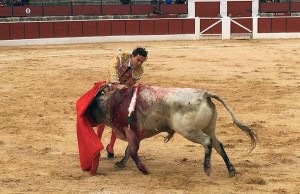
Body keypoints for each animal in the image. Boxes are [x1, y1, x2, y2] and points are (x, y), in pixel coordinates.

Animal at [86, 84, 258, 177]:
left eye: (89, 108)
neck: (113, 103)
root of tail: (205, 94)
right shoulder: (136, 134)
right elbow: (129, 150)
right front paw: (121, 164)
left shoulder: (131, 132)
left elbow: (133, 152)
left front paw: (143, 169)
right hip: (209, 128)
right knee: (218, 145)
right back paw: (231, 170)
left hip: (189, 131)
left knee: (207, 142)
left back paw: (207, 168)